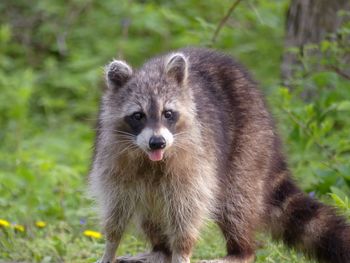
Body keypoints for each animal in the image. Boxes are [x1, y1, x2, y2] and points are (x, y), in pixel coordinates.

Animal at [89, 48, 350, 263]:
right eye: (138, 115)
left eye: (168, 113)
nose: (157, 142)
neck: (151, 159)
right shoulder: (113, 157)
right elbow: (116, 207)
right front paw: (110, 247)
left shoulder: (195, 158)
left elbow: (188, 210)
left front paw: (181, 251)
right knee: (151, 210)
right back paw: (160, 250)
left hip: (249, 142)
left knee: (235, 202)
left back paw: (240, 251)